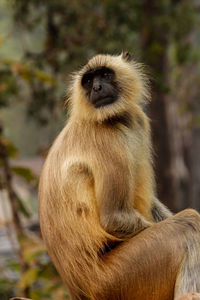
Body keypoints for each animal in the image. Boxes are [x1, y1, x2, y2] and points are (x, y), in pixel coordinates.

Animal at [38, 54, 200, 300]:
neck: (111, 119)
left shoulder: (138, 119)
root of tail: (78, 290)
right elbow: (114, 218)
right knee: (187, 224)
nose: (96, 88)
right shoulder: (107, 140)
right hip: (118, 279)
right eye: (88, 81)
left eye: (105, 75)